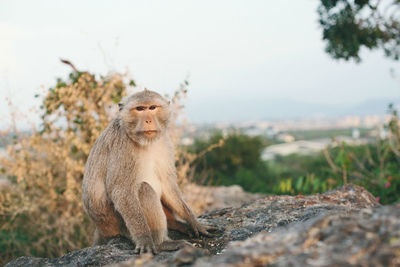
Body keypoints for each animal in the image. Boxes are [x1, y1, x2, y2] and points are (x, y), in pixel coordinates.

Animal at [81, 90, 216, 255]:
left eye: (152, 107)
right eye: (140, 109)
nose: (148, 120)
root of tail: (101, 229)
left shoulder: (164, 142)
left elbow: (167, 185)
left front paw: (194, 222)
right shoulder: (122, 146)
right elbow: (122, 191)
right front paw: (144, 238)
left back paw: (176, 224)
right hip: (119, 225)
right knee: (144, 190)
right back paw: (162, 243)